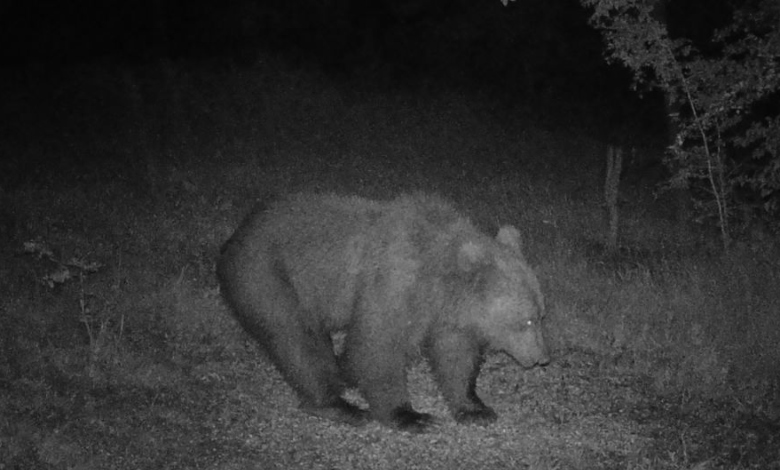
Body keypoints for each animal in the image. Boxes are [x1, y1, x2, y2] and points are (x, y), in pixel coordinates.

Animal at [216, 192, 552, 434]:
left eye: (541, 315)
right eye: (527, 321)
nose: (542, 358)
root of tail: (234, 236)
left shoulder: (449, 316)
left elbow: (455, 356)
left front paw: (475, 409)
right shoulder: (393, 285)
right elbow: (378, 347)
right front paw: (410, 416)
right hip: (268, 278)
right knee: (297, 340)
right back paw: (340, 406)